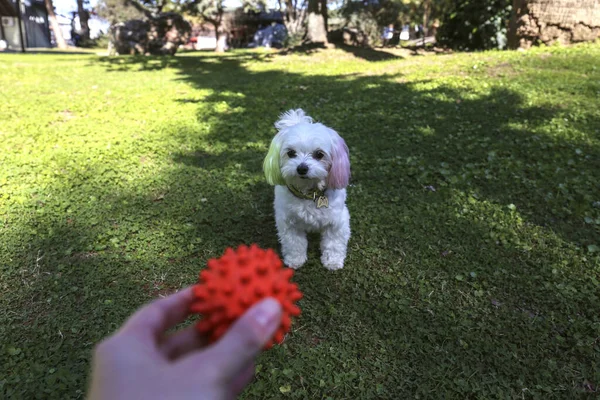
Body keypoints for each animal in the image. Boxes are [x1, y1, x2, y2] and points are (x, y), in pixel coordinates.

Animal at [262, 109, 352, 272]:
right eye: (291, 153)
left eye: (319, 154)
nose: (302, 168)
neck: (309, 193)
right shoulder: (288, 223)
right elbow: (294, 244)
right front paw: (295, 260)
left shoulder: (338, 221)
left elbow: (334, 243)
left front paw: (333, 261)